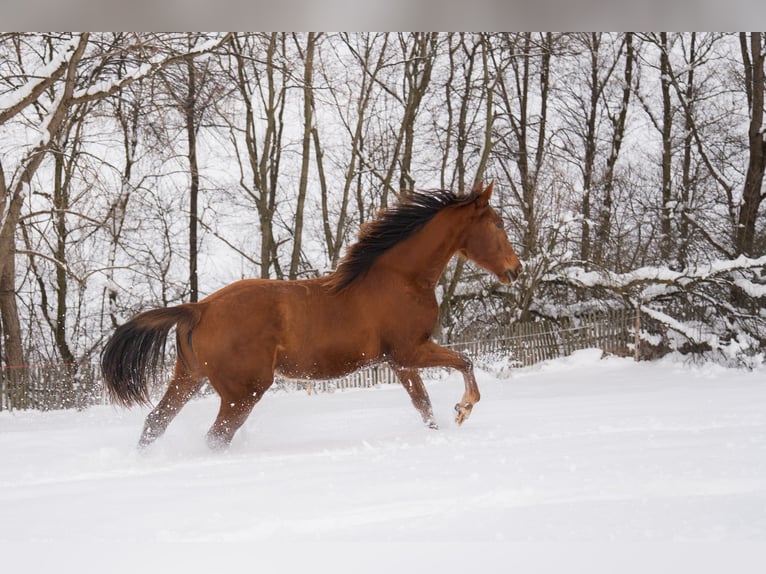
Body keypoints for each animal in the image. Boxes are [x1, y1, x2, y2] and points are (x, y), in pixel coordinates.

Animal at [100, 182, 522, 449]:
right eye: (499, 224)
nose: (516, 269)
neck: (400, 278)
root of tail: (199, 308)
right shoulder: (410, 350)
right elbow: (465, 362)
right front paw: (464, 410)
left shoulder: (400, 362)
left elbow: (424, 406)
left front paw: (442, 429)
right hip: (242, 392)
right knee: (215, 437)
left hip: (189, 377)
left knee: (155, 423)